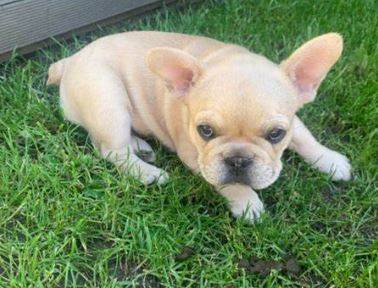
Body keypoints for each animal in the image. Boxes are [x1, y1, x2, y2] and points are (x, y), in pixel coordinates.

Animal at [47, 31, 352, 220]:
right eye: (205, 131)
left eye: (277, 134)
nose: (238, 160)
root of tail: (69, 61)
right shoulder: (195, 155)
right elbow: (225, 183)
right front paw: (246, 201)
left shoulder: (293, 119)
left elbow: (306, 139)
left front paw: (331, 160)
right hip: (108, 100)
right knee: (111, 150)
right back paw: (149, 173)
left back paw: (140, 146)